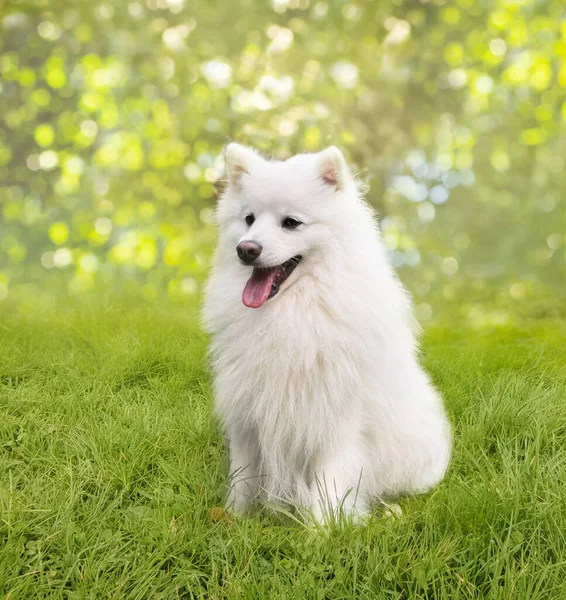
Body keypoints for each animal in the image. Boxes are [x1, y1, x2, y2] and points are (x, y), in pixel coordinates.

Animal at [203, 143, 452, 524]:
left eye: (291, 222)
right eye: (248, 220)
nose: (246, 249)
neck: (293, 310)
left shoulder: (336, 416)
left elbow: (329, 481)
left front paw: (325, 530)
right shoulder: (248, 412)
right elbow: (242, 476)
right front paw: (235, 519)